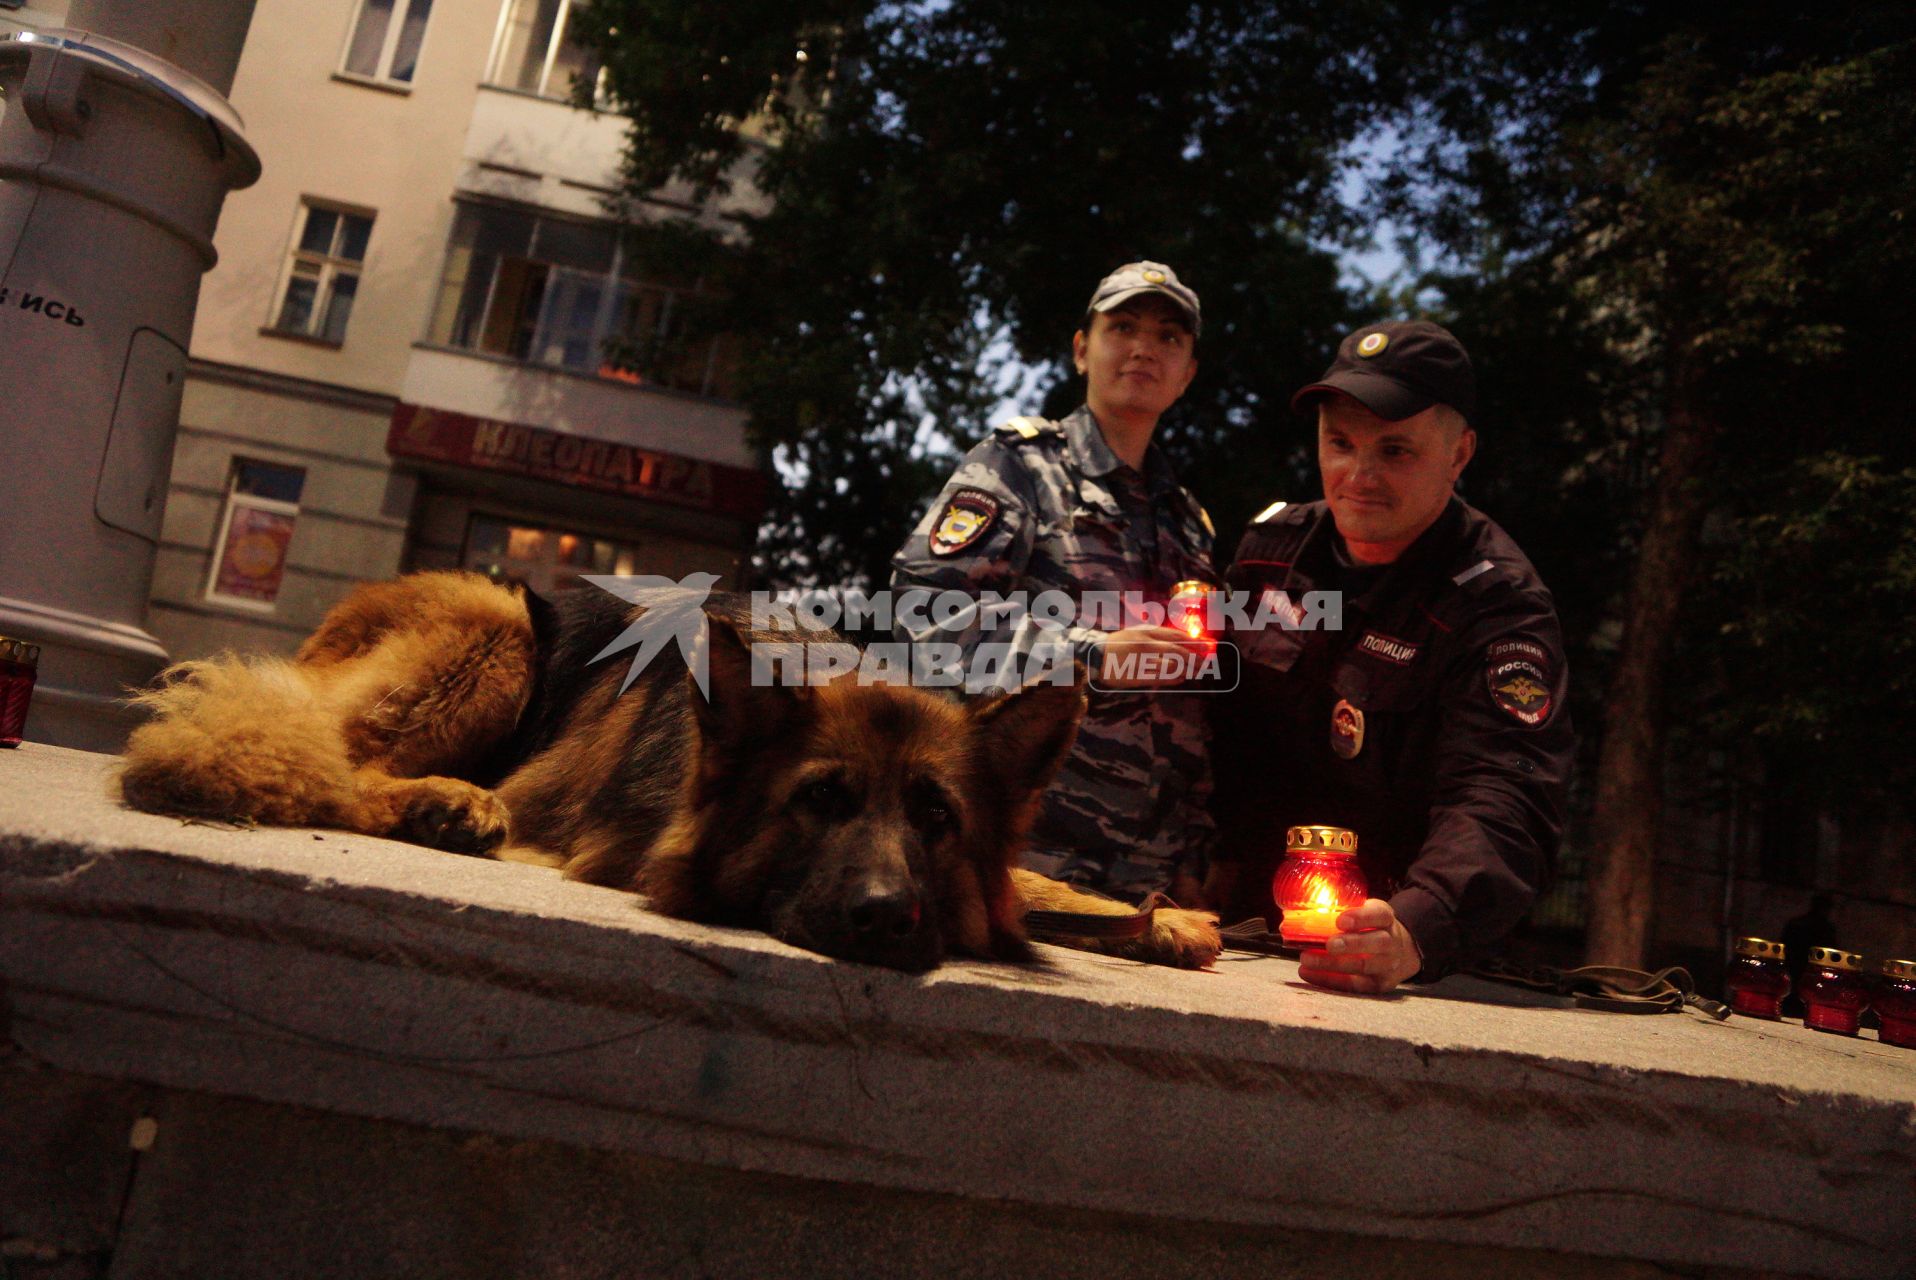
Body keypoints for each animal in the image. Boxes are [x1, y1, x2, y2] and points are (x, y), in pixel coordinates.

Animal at [119, 571, 1218, 969]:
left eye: (938, 819)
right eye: (817, 800)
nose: (882, 917)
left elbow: (1034, 882)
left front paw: (1156, 919)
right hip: (498, 623)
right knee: (326, 762)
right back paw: (443, 804)